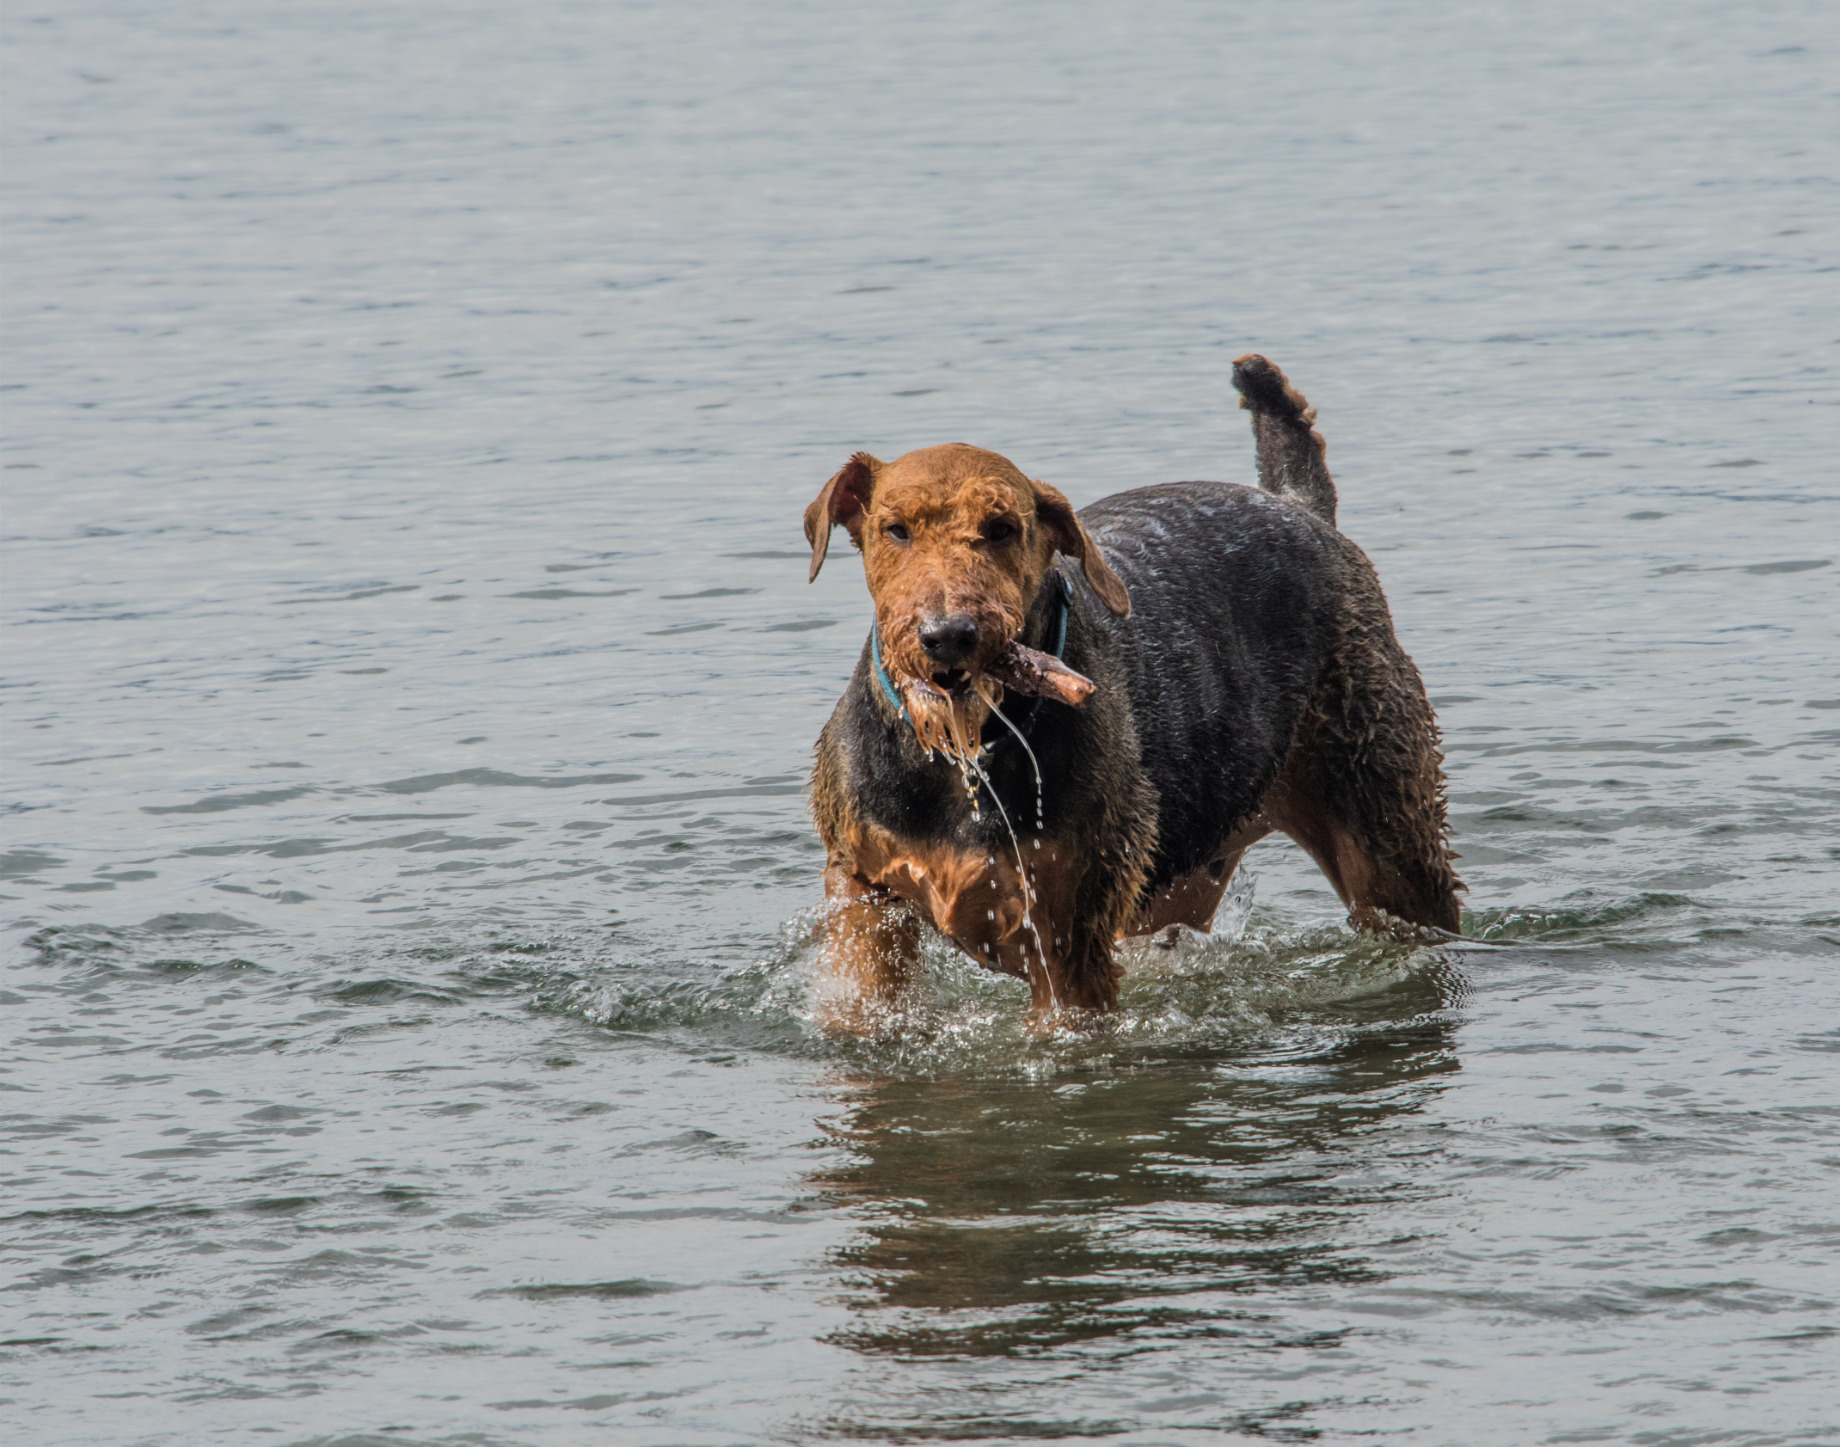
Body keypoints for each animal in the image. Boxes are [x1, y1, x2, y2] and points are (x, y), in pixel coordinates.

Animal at [805, 355, 1464, 1023]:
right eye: (895, 529)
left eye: (1002, 528)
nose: (948, 636)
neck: (970, 753)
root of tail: (1300, 506)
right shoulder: (863, 896)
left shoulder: (1066, 934)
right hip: (1179, 881)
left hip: (1391, 844)